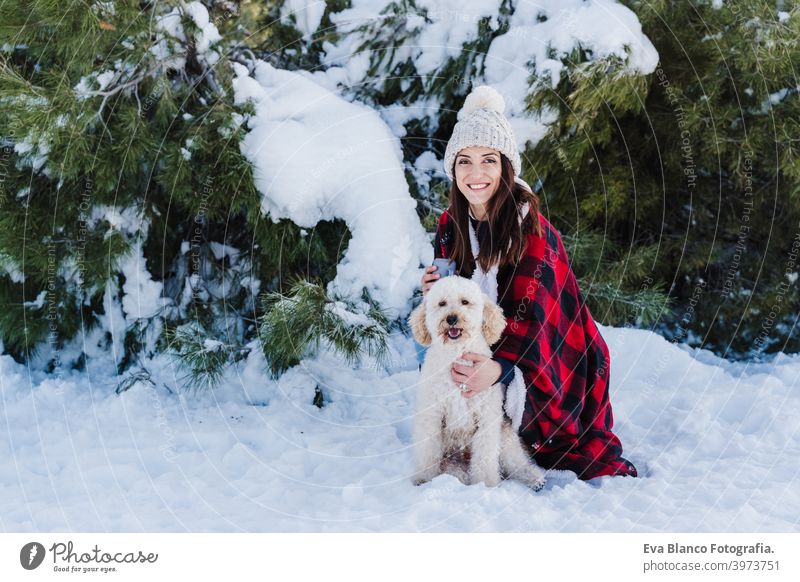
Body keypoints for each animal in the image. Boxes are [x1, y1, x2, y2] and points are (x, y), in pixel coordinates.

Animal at [410, 276, 548, 490]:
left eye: (465, 302)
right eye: (441, 303)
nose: (452, 318)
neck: (457, 355)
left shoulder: (486, 418)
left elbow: (485, 457)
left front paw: (486, 485)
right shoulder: (432, 414)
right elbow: (428, 450)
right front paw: (424, 479)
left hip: (506, 441)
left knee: (517, 465)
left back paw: (534, 479)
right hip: (453, 466)